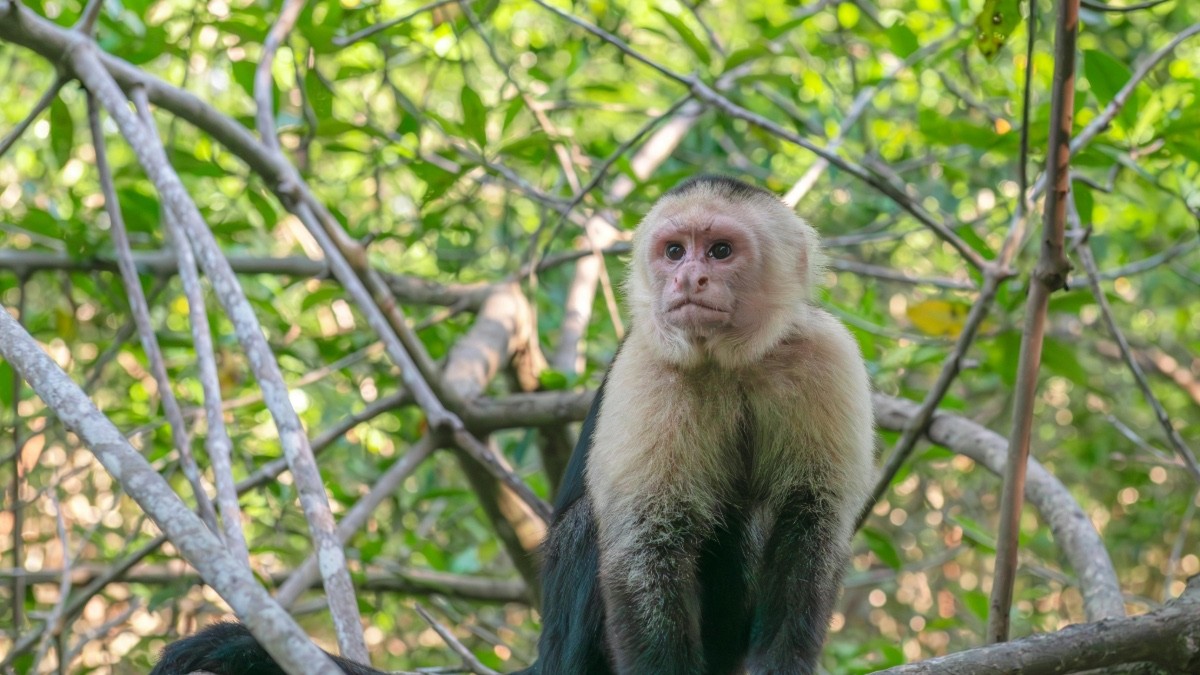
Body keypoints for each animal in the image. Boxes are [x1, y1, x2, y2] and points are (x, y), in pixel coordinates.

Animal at [150, 175, 875, 675]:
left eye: (720, 251)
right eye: (674, 251)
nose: (689, 278)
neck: (730, 362)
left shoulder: (823, 354)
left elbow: (810, 520)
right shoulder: (649, 366)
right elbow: (645, 542)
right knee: (594, 529)